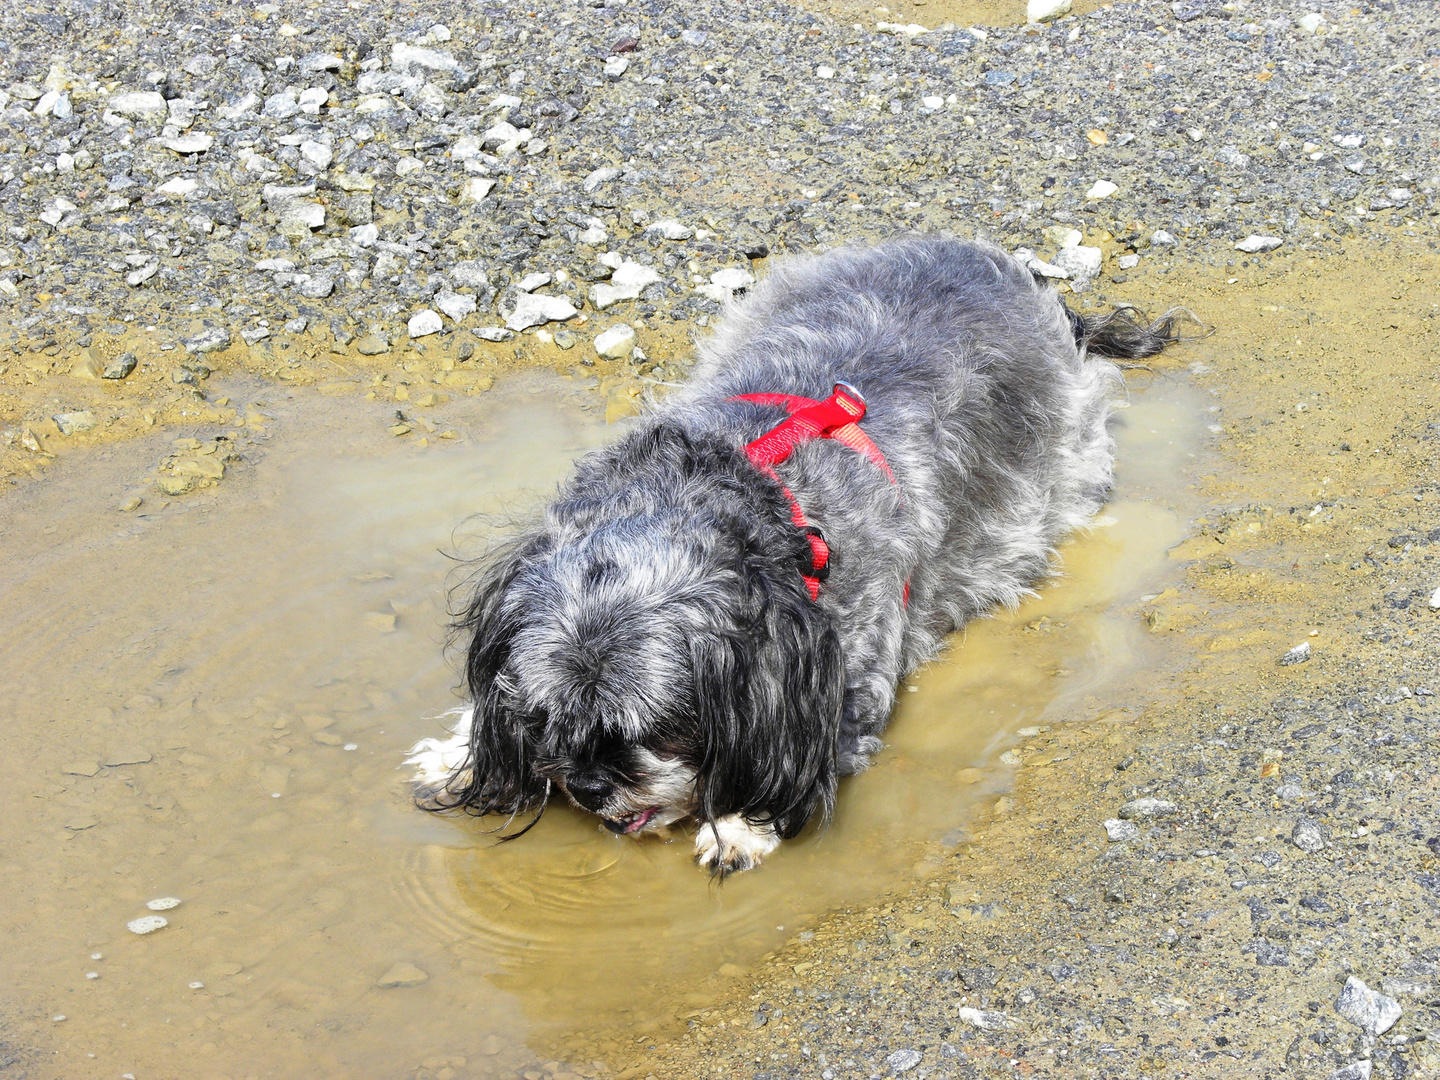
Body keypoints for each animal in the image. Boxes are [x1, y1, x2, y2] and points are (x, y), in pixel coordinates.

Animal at [408, 233, 1180, 875]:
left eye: (660, 728)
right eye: (544, 717)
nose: (590, 786)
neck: (743, 485)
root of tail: (1020, 274)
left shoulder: (846, 676)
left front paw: (739, 823)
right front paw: (461, 748)